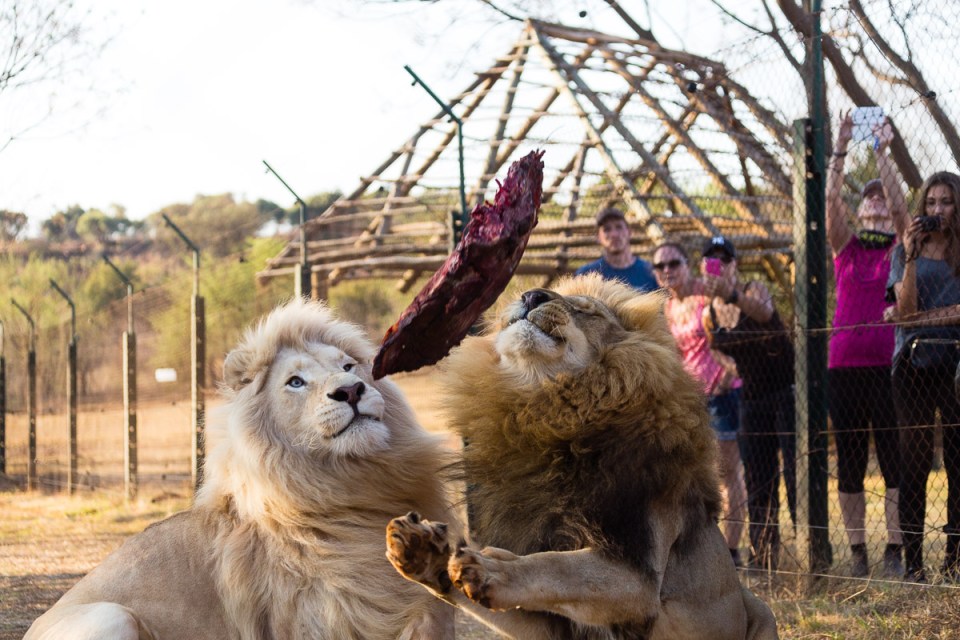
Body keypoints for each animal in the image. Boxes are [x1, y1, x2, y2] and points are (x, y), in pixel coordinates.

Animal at [25, 299, 456, 640]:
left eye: (350, 366)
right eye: (295, 382)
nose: (350, 390)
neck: (353, 482)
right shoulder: (326, 619)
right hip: (113, 616)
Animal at [386, 274, 778, 640]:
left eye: (587, 311)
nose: (532, 295)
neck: (549, 414)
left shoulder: (639, 578)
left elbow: (557, 566)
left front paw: (491, 567)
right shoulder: (549, 628)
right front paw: (424, 553)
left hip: (762, 611)